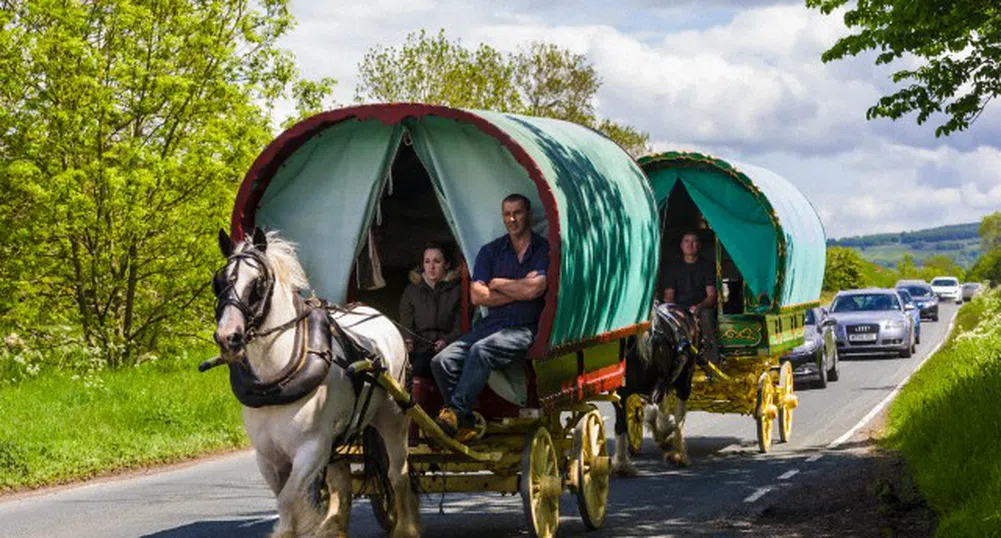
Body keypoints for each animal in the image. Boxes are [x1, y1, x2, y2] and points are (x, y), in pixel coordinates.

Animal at [213, 228, 416, 536]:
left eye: (258, 283)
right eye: (219, 283)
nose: (228, 337)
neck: (276, 380)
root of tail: (378, 314)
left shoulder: (312, 449)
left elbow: (288, 501)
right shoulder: (268, 457)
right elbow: (287, 501)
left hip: (392, 417)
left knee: (398, 476)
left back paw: (405, 527)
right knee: (343, 482)